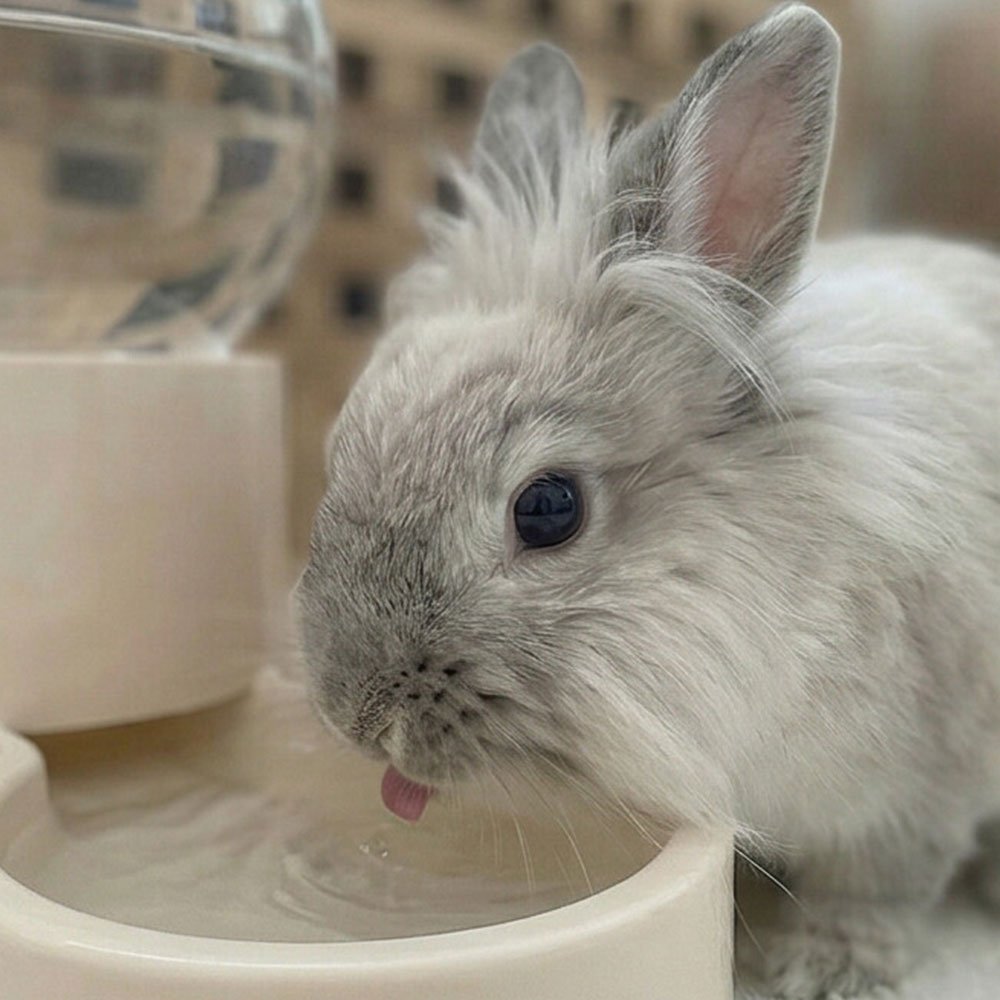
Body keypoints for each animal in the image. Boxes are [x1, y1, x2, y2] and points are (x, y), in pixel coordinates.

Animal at [294, 4, 1000, 998]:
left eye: (548, 509)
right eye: (342, 447)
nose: (351, 715)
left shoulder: (926, 787)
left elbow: (880, 889)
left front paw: (828, 968)